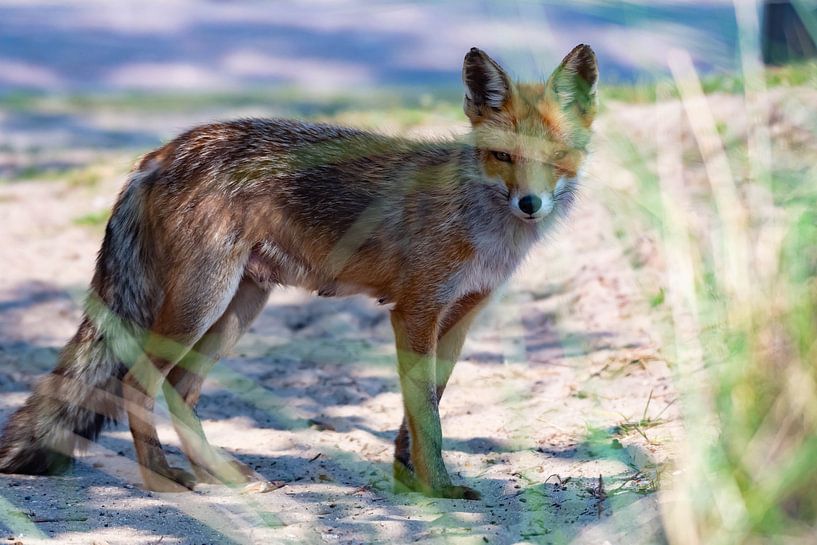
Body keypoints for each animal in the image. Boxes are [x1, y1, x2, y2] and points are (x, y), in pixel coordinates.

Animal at [0, 45, 597, 500]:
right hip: (202, 305)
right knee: (136, 383)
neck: (478, 224)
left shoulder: (460, 317)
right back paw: (163, 482)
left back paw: (218, 474)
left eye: (558, 158)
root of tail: (161, 152)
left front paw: (410, 480)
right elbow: (428, 416)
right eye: (503, 156)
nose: (530, 204)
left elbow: (423, 409)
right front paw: (438, 491)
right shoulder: (415, 312)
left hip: (238, 309)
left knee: (179, 389)